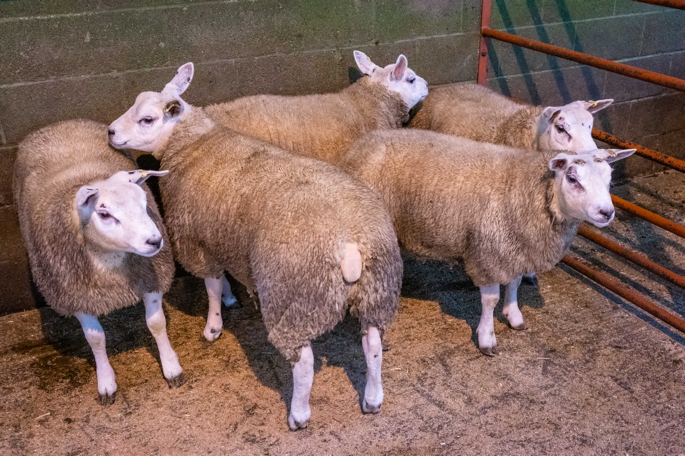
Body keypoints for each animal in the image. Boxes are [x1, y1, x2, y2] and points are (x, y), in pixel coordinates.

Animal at [13, 119, 182, 404]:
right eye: (104, 214)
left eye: (143, 201)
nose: (155, 241)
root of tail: (62, 123)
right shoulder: (78, 296)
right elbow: (95, 340)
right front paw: (106, 381)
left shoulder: (151, 278)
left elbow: (156, 324)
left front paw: (171, 366)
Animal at [107, 64, 403, 430]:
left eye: (147, 119)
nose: (110, 132)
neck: (192, 141)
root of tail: (350, 243)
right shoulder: (221, 238)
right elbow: (223, 279)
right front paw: (231, 299)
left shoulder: (197, 241)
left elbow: (212, 285)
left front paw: (213, 326)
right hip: (377, 288)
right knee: (372, 344)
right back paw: (373, 399)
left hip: (293, 294)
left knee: (304, 362)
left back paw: (299, 414)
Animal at [339, 129, 634, 355]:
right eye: (572, 178)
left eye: (609, 178)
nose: (606, 213)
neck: (529, 190)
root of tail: (361, 144)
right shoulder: (489, 252)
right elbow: (490, 300)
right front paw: (487, 337)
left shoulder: (515, 248)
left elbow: (514, 284)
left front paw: (514, 316)